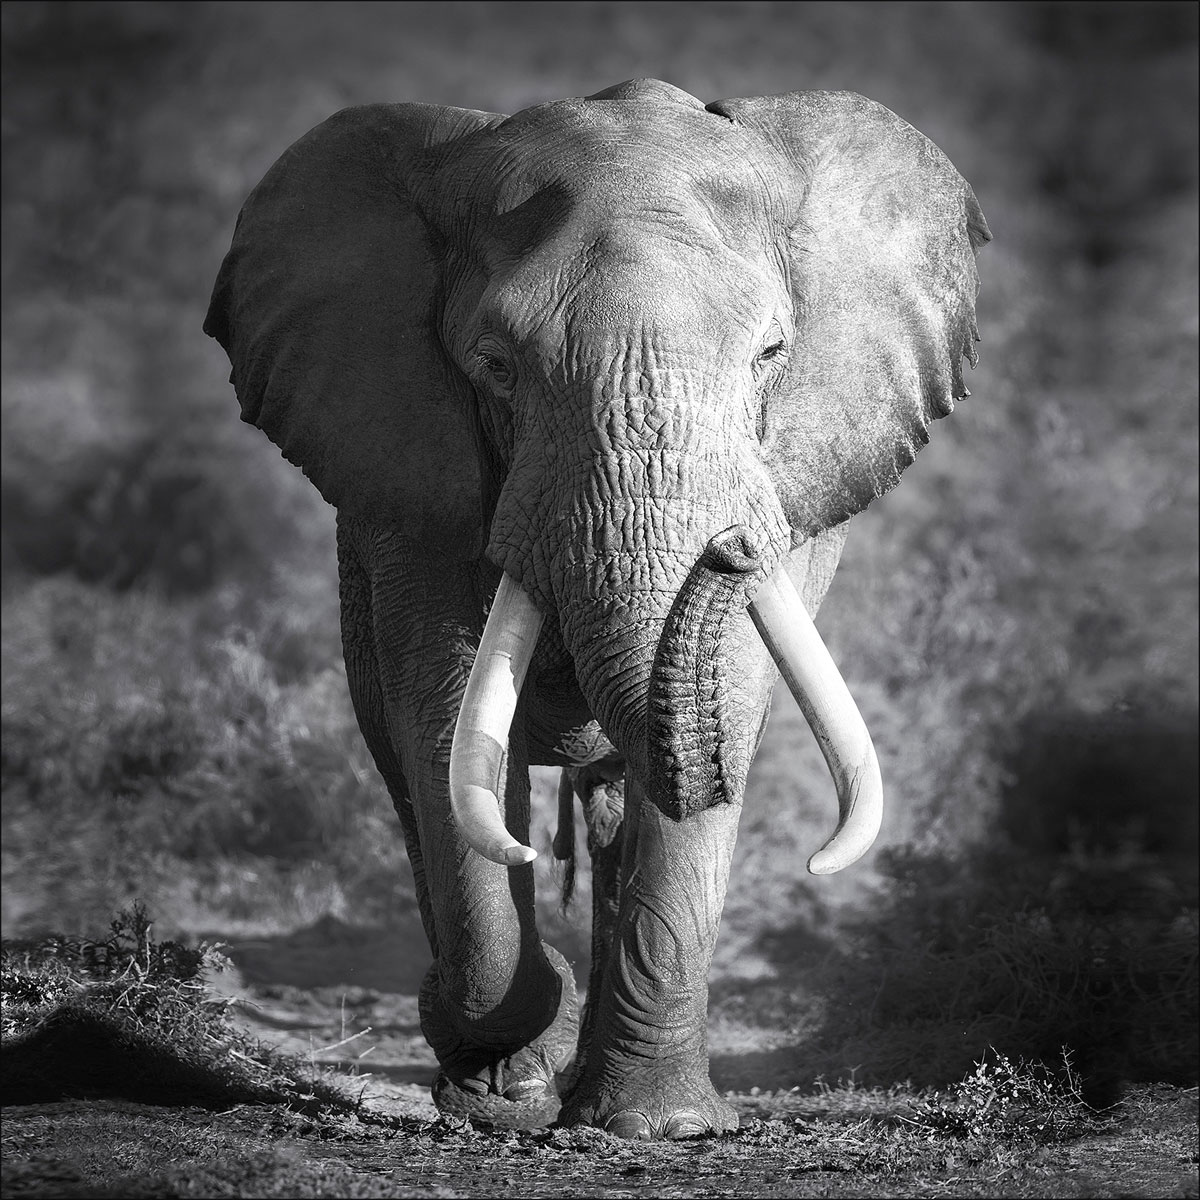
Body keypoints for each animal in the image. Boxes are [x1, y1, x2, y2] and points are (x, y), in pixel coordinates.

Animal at [205, 78, 989, 1138]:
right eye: (496, 364)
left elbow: (728, 705)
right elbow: (444, 722)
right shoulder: (407, 484)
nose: (732, 547)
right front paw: (503, 1090)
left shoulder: (799, 475)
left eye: (771, 354)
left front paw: (658, 1127)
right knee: (413, 772)